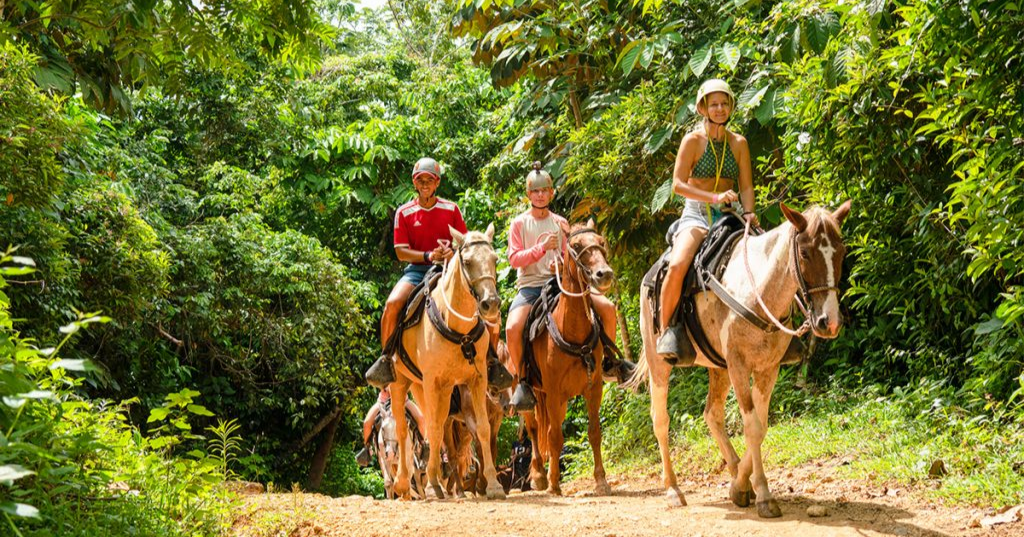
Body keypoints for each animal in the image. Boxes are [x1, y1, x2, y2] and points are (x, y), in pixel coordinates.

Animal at [389, 224, 506, 500]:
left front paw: (494, 485)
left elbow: (482, 429)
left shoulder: (477, 380)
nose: (490, 303)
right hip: (402, 383)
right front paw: (433, 485)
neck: (459, 329)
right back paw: (405, 483)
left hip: (433, 390)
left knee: (440, 428)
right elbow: (431, 428)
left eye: (494, 259)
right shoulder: (432, 382)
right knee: (403, 429)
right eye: (467, 261)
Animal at [522, 219, 616, 496]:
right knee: (534, 428)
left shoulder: (593, 388)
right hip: (532, 394)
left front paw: (601, 481)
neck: (572, 332)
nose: (604, 274)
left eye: (601, 241)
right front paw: (553, 484)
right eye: (574, 245)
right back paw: (539, 476)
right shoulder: (553, 392)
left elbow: (594, 432)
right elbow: (554, 437)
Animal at [626, 201, 851, 518]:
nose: (828, 322)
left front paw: (742, 486)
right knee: (661, 419)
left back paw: (734, 473)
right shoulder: (739, 365)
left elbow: (761, 426)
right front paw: (764, 496)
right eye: (805, 253)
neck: (758, 290)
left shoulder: (768, 368)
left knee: (712, 413)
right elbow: (752, 426)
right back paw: (673, 489)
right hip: (659, 360)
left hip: (717, 367)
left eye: (841, 252)